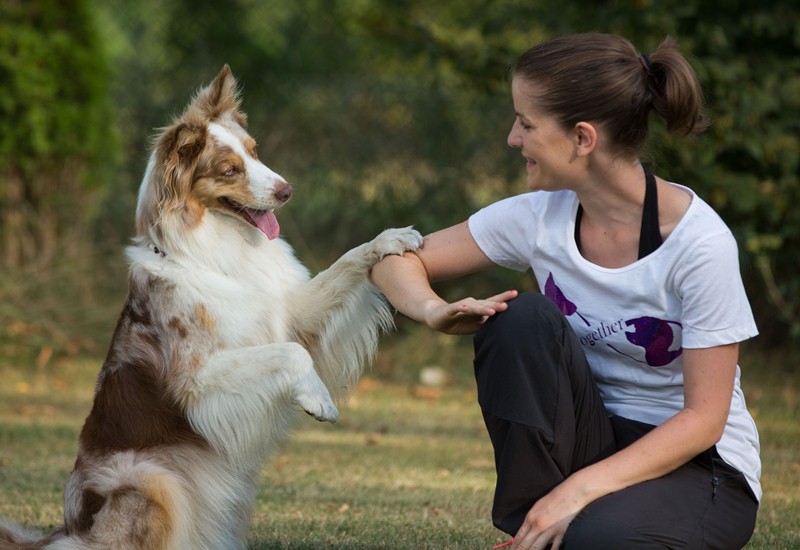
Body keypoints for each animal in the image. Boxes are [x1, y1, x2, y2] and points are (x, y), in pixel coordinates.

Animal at [0, 66, 422, 550]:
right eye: (229, 170)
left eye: (255, 152)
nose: (287, 191)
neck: (221, 249)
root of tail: (67, 531)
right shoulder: (196, 379)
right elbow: (291, 353)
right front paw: (319, 400)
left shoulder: (291, 312)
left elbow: (346, 263)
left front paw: (390, 239)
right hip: (154, 481)